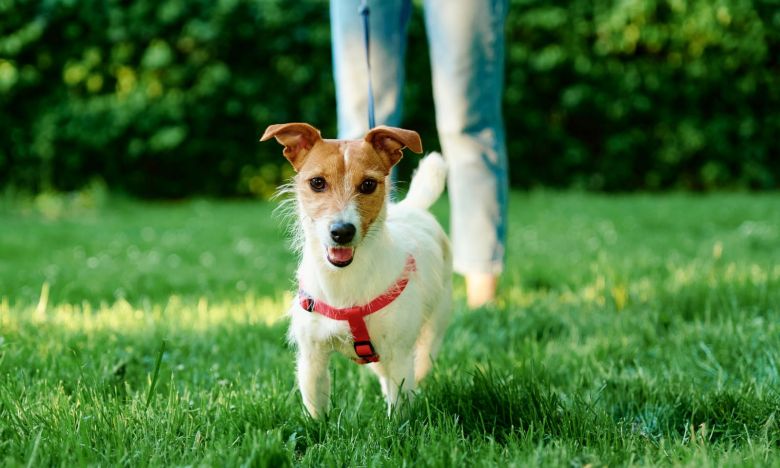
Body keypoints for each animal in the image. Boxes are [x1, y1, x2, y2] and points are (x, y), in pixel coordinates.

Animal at [260, 123, 450, 416]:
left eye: (368, 184)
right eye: (317, 182)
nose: (342, 232)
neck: (343, 282)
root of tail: (412, 207)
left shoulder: (399, 355)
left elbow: (399, 407)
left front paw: (397, 425)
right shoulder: (312, 358)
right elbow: (316, 411)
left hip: (431, 336)